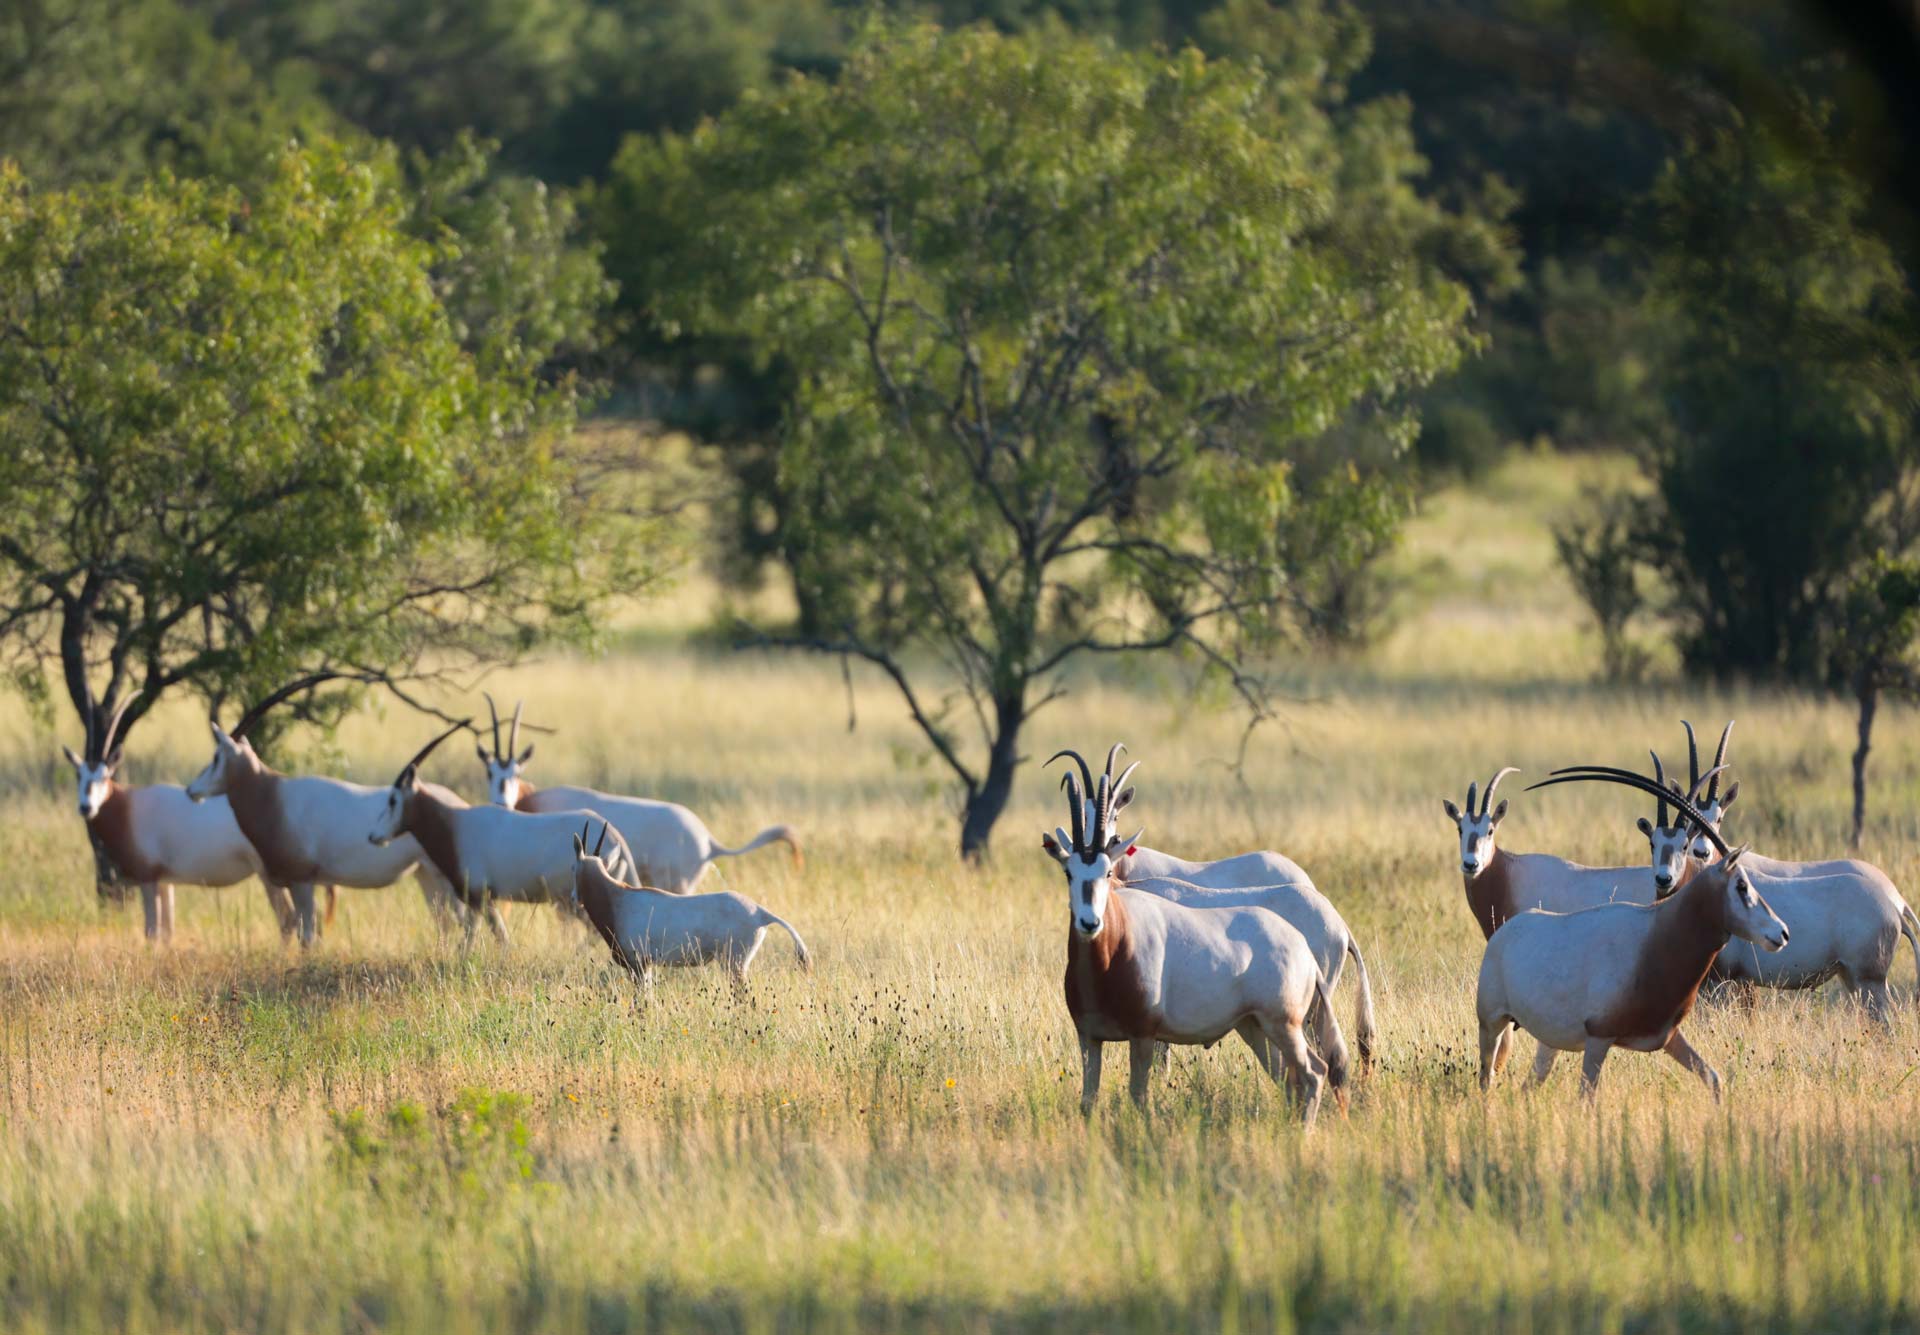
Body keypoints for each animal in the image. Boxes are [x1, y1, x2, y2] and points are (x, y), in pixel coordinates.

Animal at [366, 722, 645, 948]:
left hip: (572, 901)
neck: (454, 824)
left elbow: (492, 938)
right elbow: (479, 938)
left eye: (392, 800)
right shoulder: (480, 901)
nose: (373, 836)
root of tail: (617, 841)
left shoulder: (480, 897)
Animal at [564, 818, 814, 998]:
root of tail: (761, 913)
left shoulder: (638, 966)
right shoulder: (647, 967)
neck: (617, 898)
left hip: (734, 964)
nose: (575, 898)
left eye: (573, 868)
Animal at [1044, 745, 1344, 1121]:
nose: (1089, 923)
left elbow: (1147, 1082)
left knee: (1316, 1069)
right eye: (1068, 872)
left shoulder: (1144, 1030)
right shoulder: (1092, 1035)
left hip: (1297, 1019)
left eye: (1116, 813)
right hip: (1259, 1025)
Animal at [1474, 768, 1789, 1098]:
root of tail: (1503, 934)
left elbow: (1713, 1078)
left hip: (1548, 1042)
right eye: (1741, 885)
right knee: (1485, 1079)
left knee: (1529, 1083)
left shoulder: (1667, 1036)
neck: (1658, 934)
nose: (1781, 933)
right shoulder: (1599, 1038)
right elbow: (1587, 1097)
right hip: (1491, 1023)